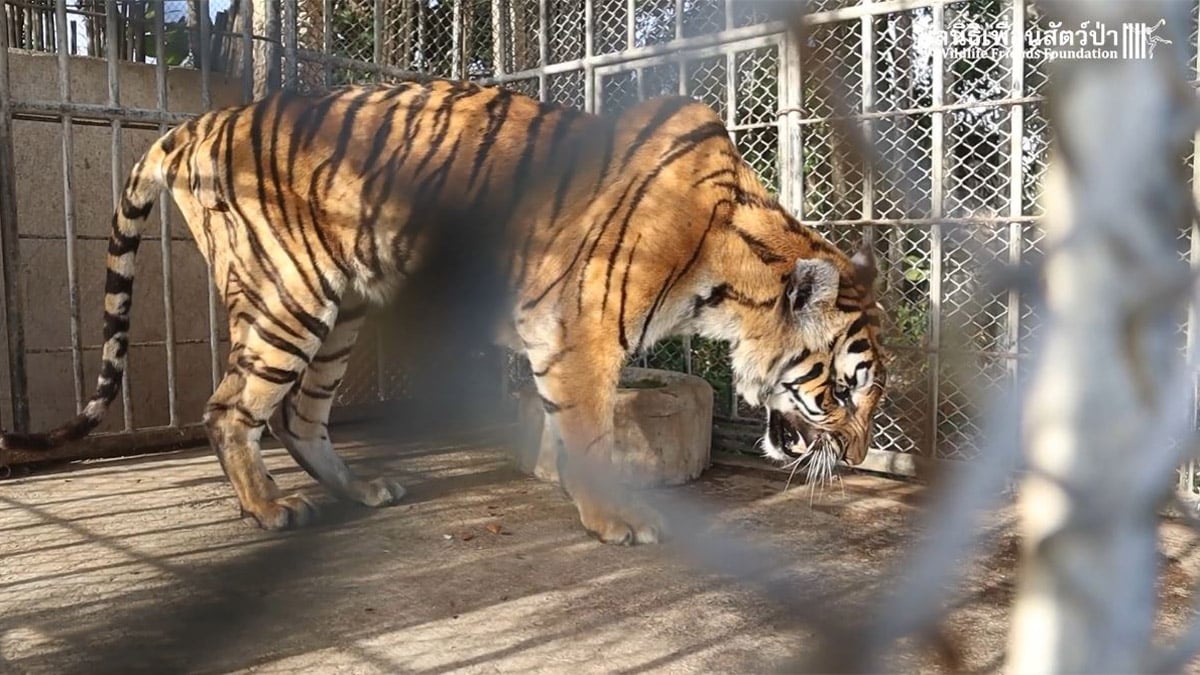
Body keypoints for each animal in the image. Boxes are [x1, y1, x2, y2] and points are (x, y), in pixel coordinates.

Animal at [0, 77, 885, 545]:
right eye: (841, 391)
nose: (858, 455)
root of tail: (190, 126)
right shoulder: (580, 338)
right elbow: (591, 433)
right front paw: (612, 519)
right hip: (288, 299)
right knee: (230, 410)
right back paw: (269, 509)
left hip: (340, 311)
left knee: (297, 417)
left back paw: (360, 491)